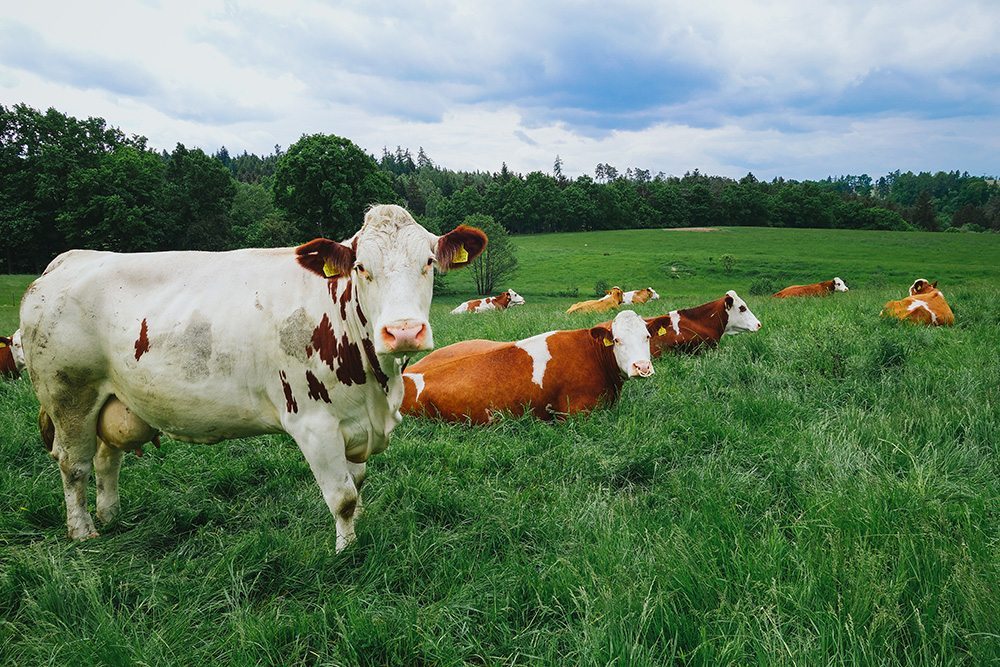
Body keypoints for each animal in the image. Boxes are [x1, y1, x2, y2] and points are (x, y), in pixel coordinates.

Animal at [15, 206, 484, 552]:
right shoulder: (313, 424)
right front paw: (346, 552)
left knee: (105, 458)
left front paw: (360, 528)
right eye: (362, 267)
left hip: (111, 399)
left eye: (428, 262)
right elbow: (343, 496)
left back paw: (110, 516)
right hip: (68, 395)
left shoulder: (356, 425)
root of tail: (69, 259)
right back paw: (82, 531)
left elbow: (358, 484)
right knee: (72, 464)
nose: (403, 331)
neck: (375, 388)